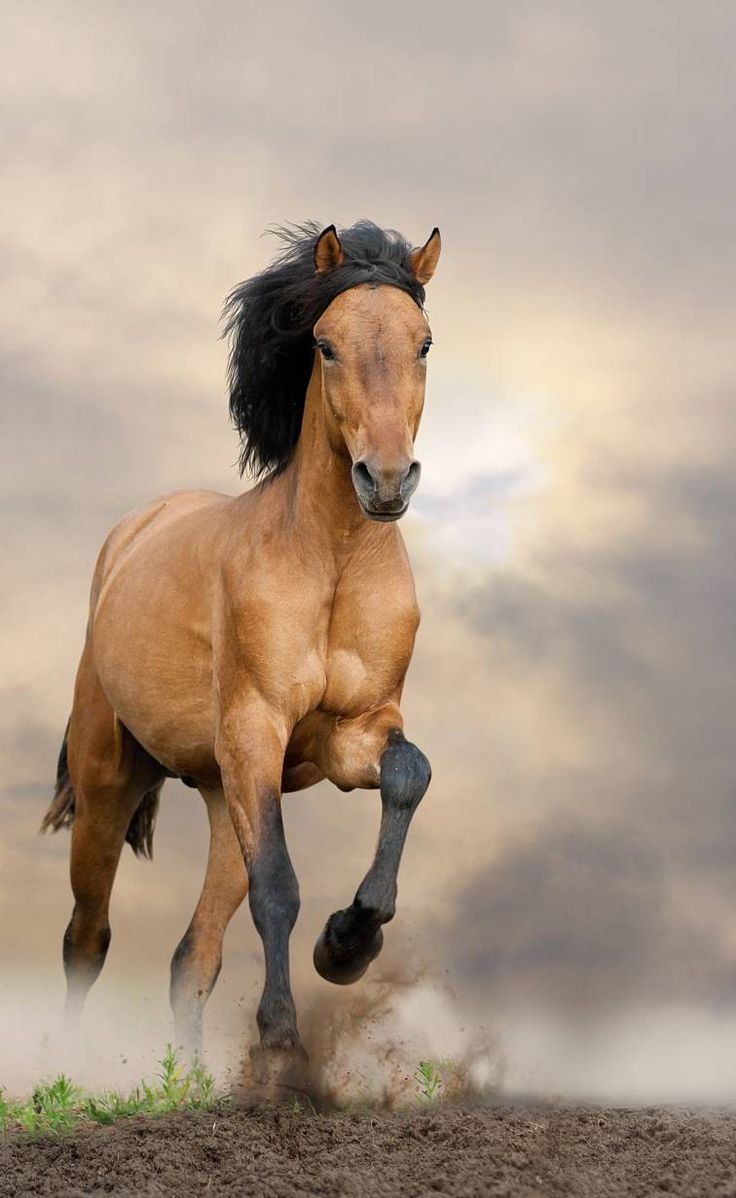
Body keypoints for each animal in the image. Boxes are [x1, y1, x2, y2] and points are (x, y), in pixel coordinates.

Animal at [40, 218, 441, 1087]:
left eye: (424, 342)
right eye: (324, 344)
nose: (387, 480)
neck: (330, 563)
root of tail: (133, 532)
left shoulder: (350, 734)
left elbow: (408, 775)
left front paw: (348, 943)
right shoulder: (257, 728)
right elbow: (279, 890)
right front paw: (283, 1045)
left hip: (225, 796)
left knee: (192, 957)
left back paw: (192, 1084)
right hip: (110, 781)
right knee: (88, 936)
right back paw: (67, 1069)